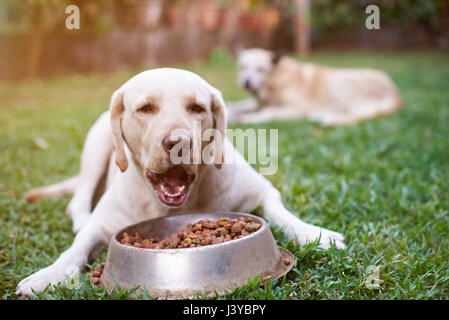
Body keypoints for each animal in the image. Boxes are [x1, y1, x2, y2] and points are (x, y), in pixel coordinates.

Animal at [16, 69, 344, 296]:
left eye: (197, 108)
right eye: (146, 108)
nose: (179, 142)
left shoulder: (262, 191)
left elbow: (283, 213)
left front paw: (315, 233)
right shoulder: (103, 224)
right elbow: (75, 249)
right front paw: (48, 274)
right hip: (96, 143)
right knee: (78, 201)